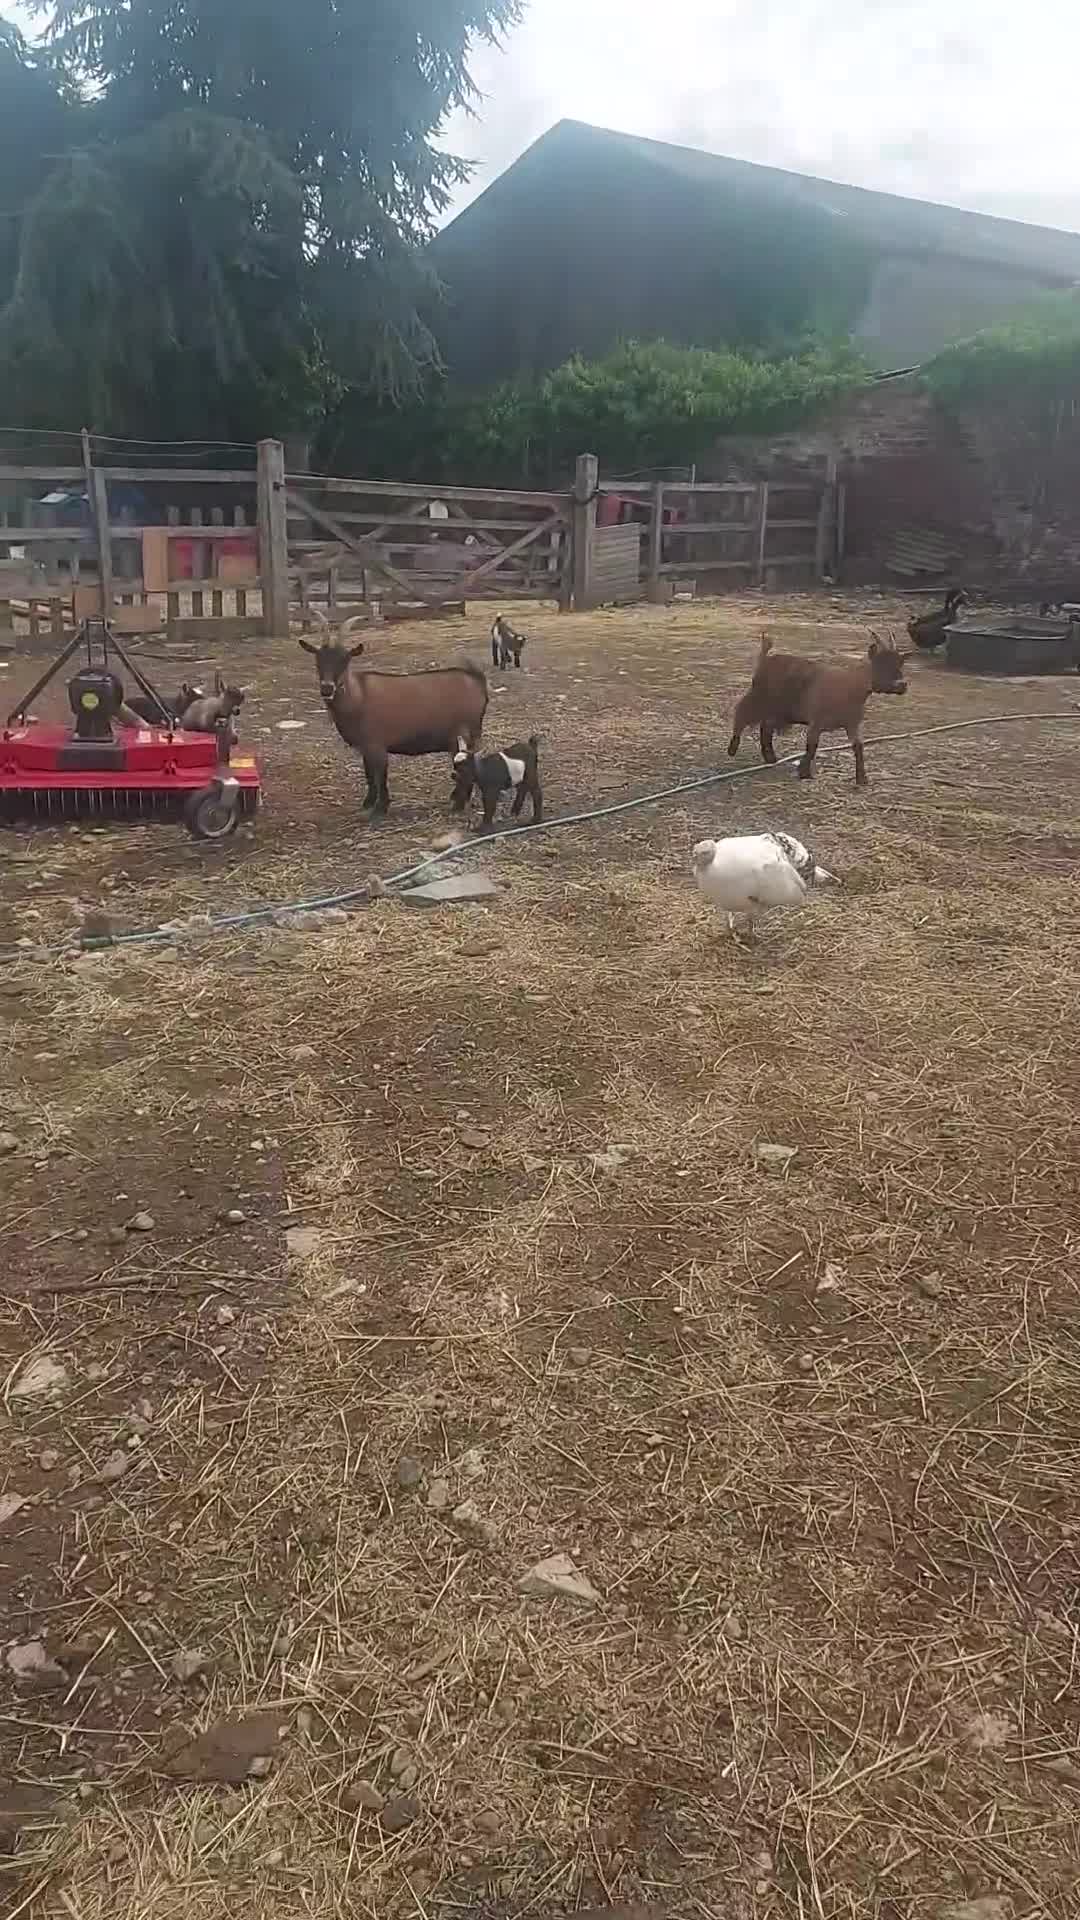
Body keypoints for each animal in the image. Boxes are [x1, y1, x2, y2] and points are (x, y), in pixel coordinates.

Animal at [298, 613, 488, 817]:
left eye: (345, 660)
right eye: (318, 660)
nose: (327, 688)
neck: (359, 695)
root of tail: (477, 680)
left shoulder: (377, 745)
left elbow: (381, 776)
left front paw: (381, 808)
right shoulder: (365, 748)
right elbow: (369, 775)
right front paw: (368, 802)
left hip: (461, 735)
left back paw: (457, 805)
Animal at [727, 633, 908, 788]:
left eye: (900, 663)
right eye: (880, 663)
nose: (902, 685)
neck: (850, 685)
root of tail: (766, 658)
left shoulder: (852, 724)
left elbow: (858, 747)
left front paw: (862, 779)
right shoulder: (817, 721)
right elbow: (812, 745)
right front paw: (804, 773)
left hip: (778, 709)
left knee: (766, 726)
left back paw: (771, 758)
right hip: (759, 697)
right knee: (741, 713)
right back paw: (732, 749)